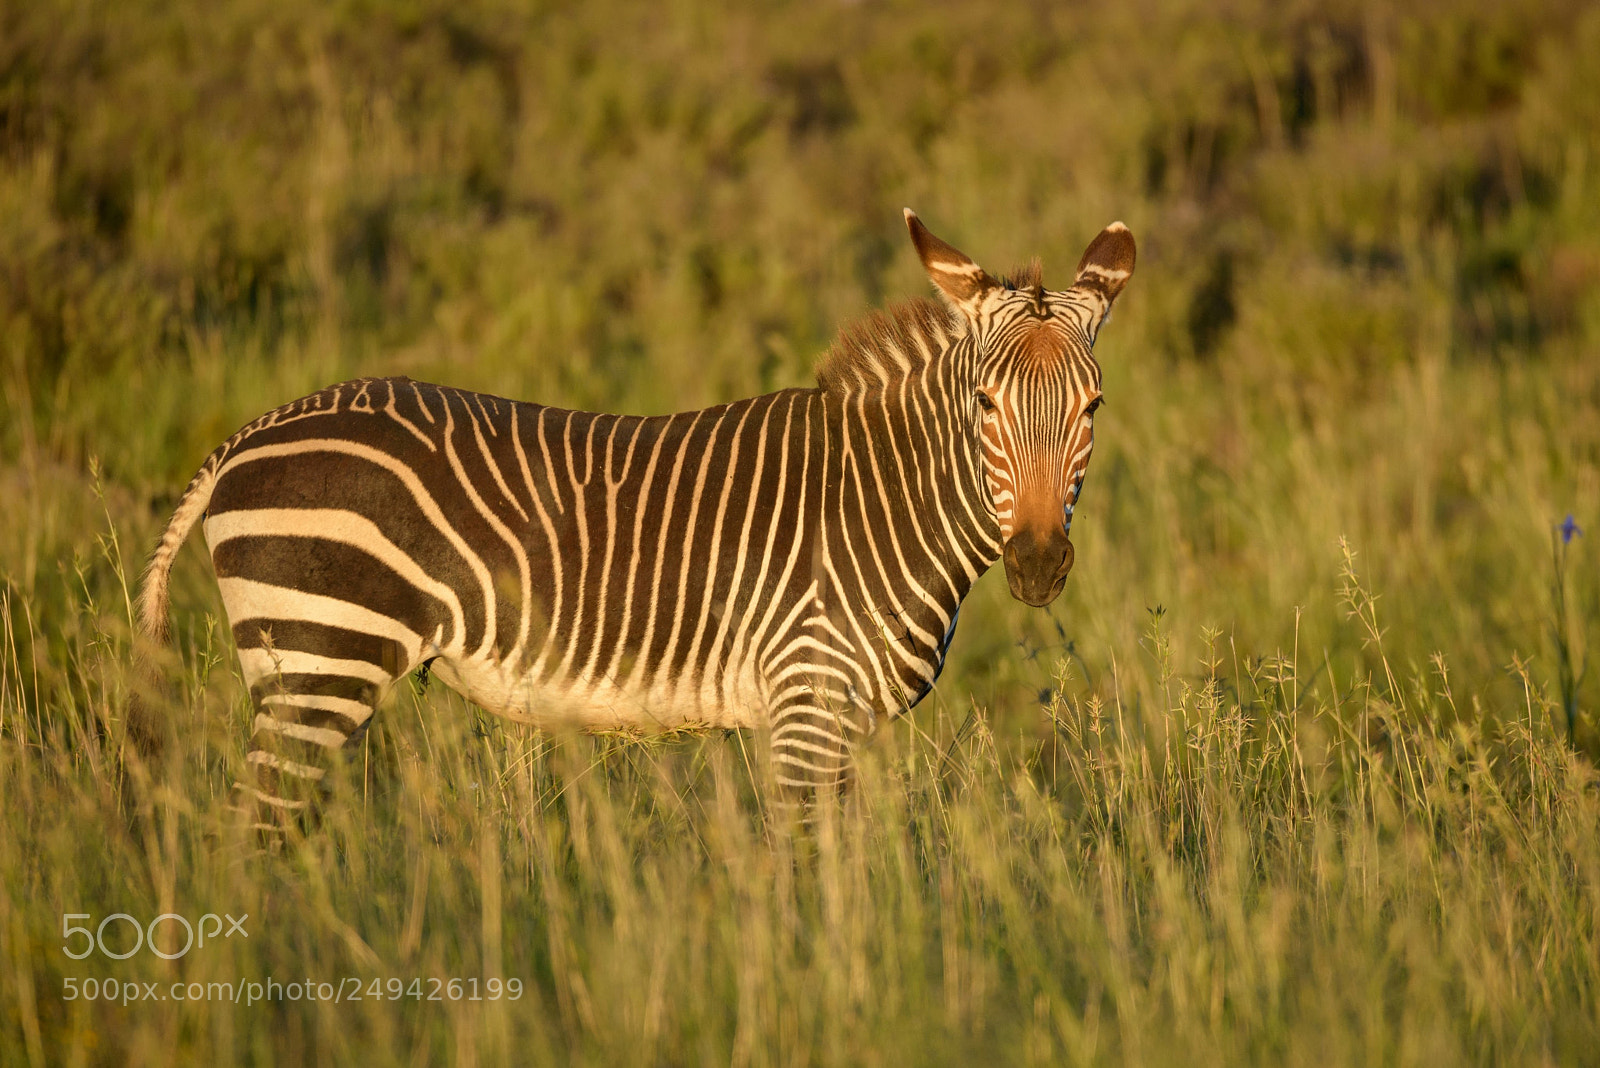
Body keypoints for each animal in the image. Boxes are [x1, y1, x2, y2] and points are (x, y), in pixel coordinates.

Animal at [134, 210, 1135, 829]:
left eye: (1093, 407)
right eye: (985, 406)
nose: (1037, 565)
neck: (881, 496)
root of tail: (251, 430)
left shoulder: (834, 720)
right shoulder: (807, 701)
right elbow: (805, 874)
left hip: (303, 669)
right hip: (319, 659)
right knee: (254, 837)